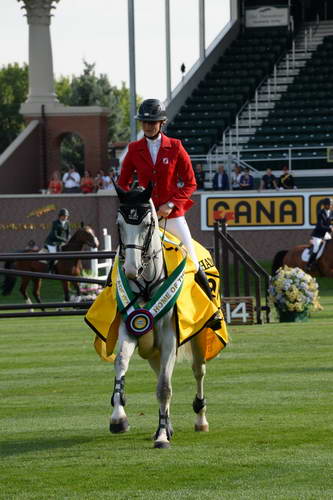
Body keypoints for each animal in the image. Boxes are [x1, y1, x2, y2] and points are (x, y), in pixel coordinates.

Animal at [111, 184, 210, 450]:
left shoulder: (169, 338)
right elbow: (121, 364)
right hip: (151, 348)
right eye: (119, 224)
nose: (131, 270)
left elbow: (165, 388)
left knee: (198, 371)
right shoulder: (131, 327)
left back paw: (200, 420)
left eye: (148, 224)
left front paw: (162, 436)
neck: (146, 285)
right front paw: (118, 418)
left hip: (197, 340)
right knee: (160, 373)